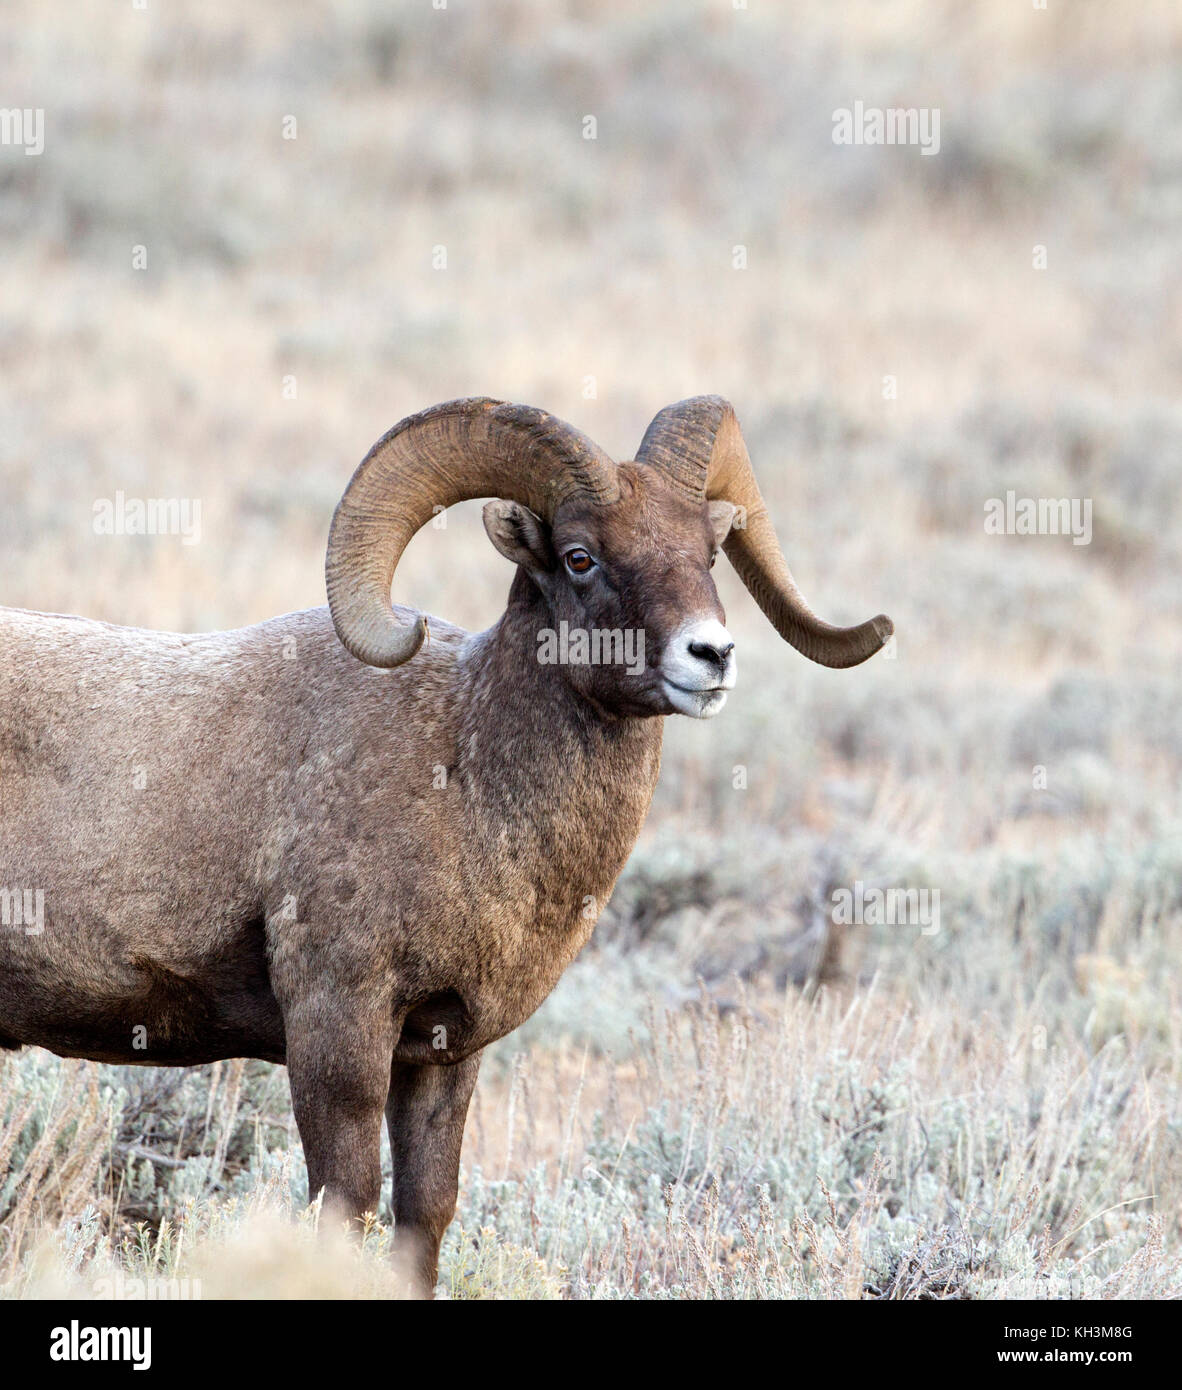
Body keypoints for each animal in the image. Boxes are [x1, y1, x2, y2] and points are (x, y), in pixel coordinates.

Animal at [0, 395, 891, 1295]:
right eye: (580, 557)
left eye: (709, 550)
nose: (710, 656)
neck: (463, 766)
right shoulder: (338, 1032)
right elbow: (346, 1205)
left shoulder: (441, 1058)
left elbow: (424, 1214)